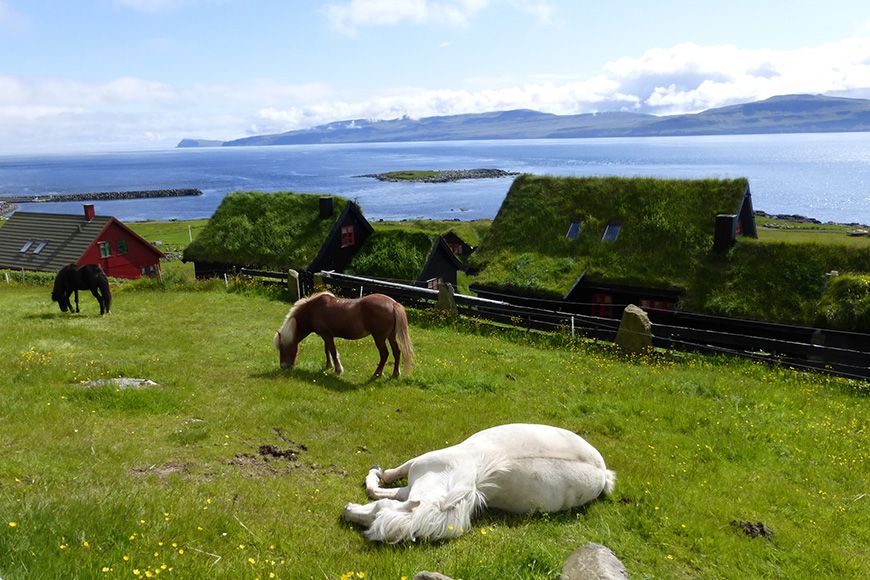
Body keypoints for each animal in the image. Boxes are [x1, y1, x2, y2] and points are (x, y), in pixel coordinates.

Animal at [276, 292, 416, 378]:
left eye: (283, 348)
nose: (283, 367)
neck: (313, 310)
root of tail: (393, 304)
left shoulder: (327, 335)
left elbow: (332, 351)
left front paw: (338, 370)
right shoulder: (326, 336)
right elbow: (327, 351)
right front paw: (328, 366)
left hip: (379, 338)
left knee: (384, 354)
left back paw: (377, 374)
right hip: (391, 336)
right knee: (397, 352)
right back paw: (395, 374)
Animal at [344, 422, 616, 544]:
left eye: (377, 514)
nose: (346, 510)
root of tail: (603, 474)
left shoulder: (416, 468)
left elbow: (383, 484)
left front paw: (376, 471)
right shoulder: (412, 485)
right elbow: (383, 490)